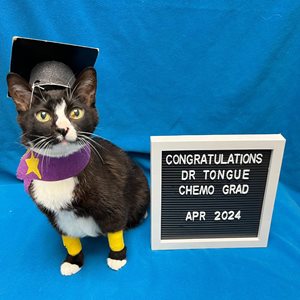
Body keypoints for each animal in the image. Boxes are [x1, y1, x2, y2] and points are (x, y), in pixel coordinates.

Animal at [7, 64, 150, 276]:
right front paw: (73, 261)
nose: (63, 129)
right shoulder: (55, 217)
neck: (60, 170)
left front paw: (117, 257)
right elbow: (69, 237)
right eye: (43, 115)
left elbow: (115, 225)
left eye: (76, 112)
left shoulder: (112, 202)